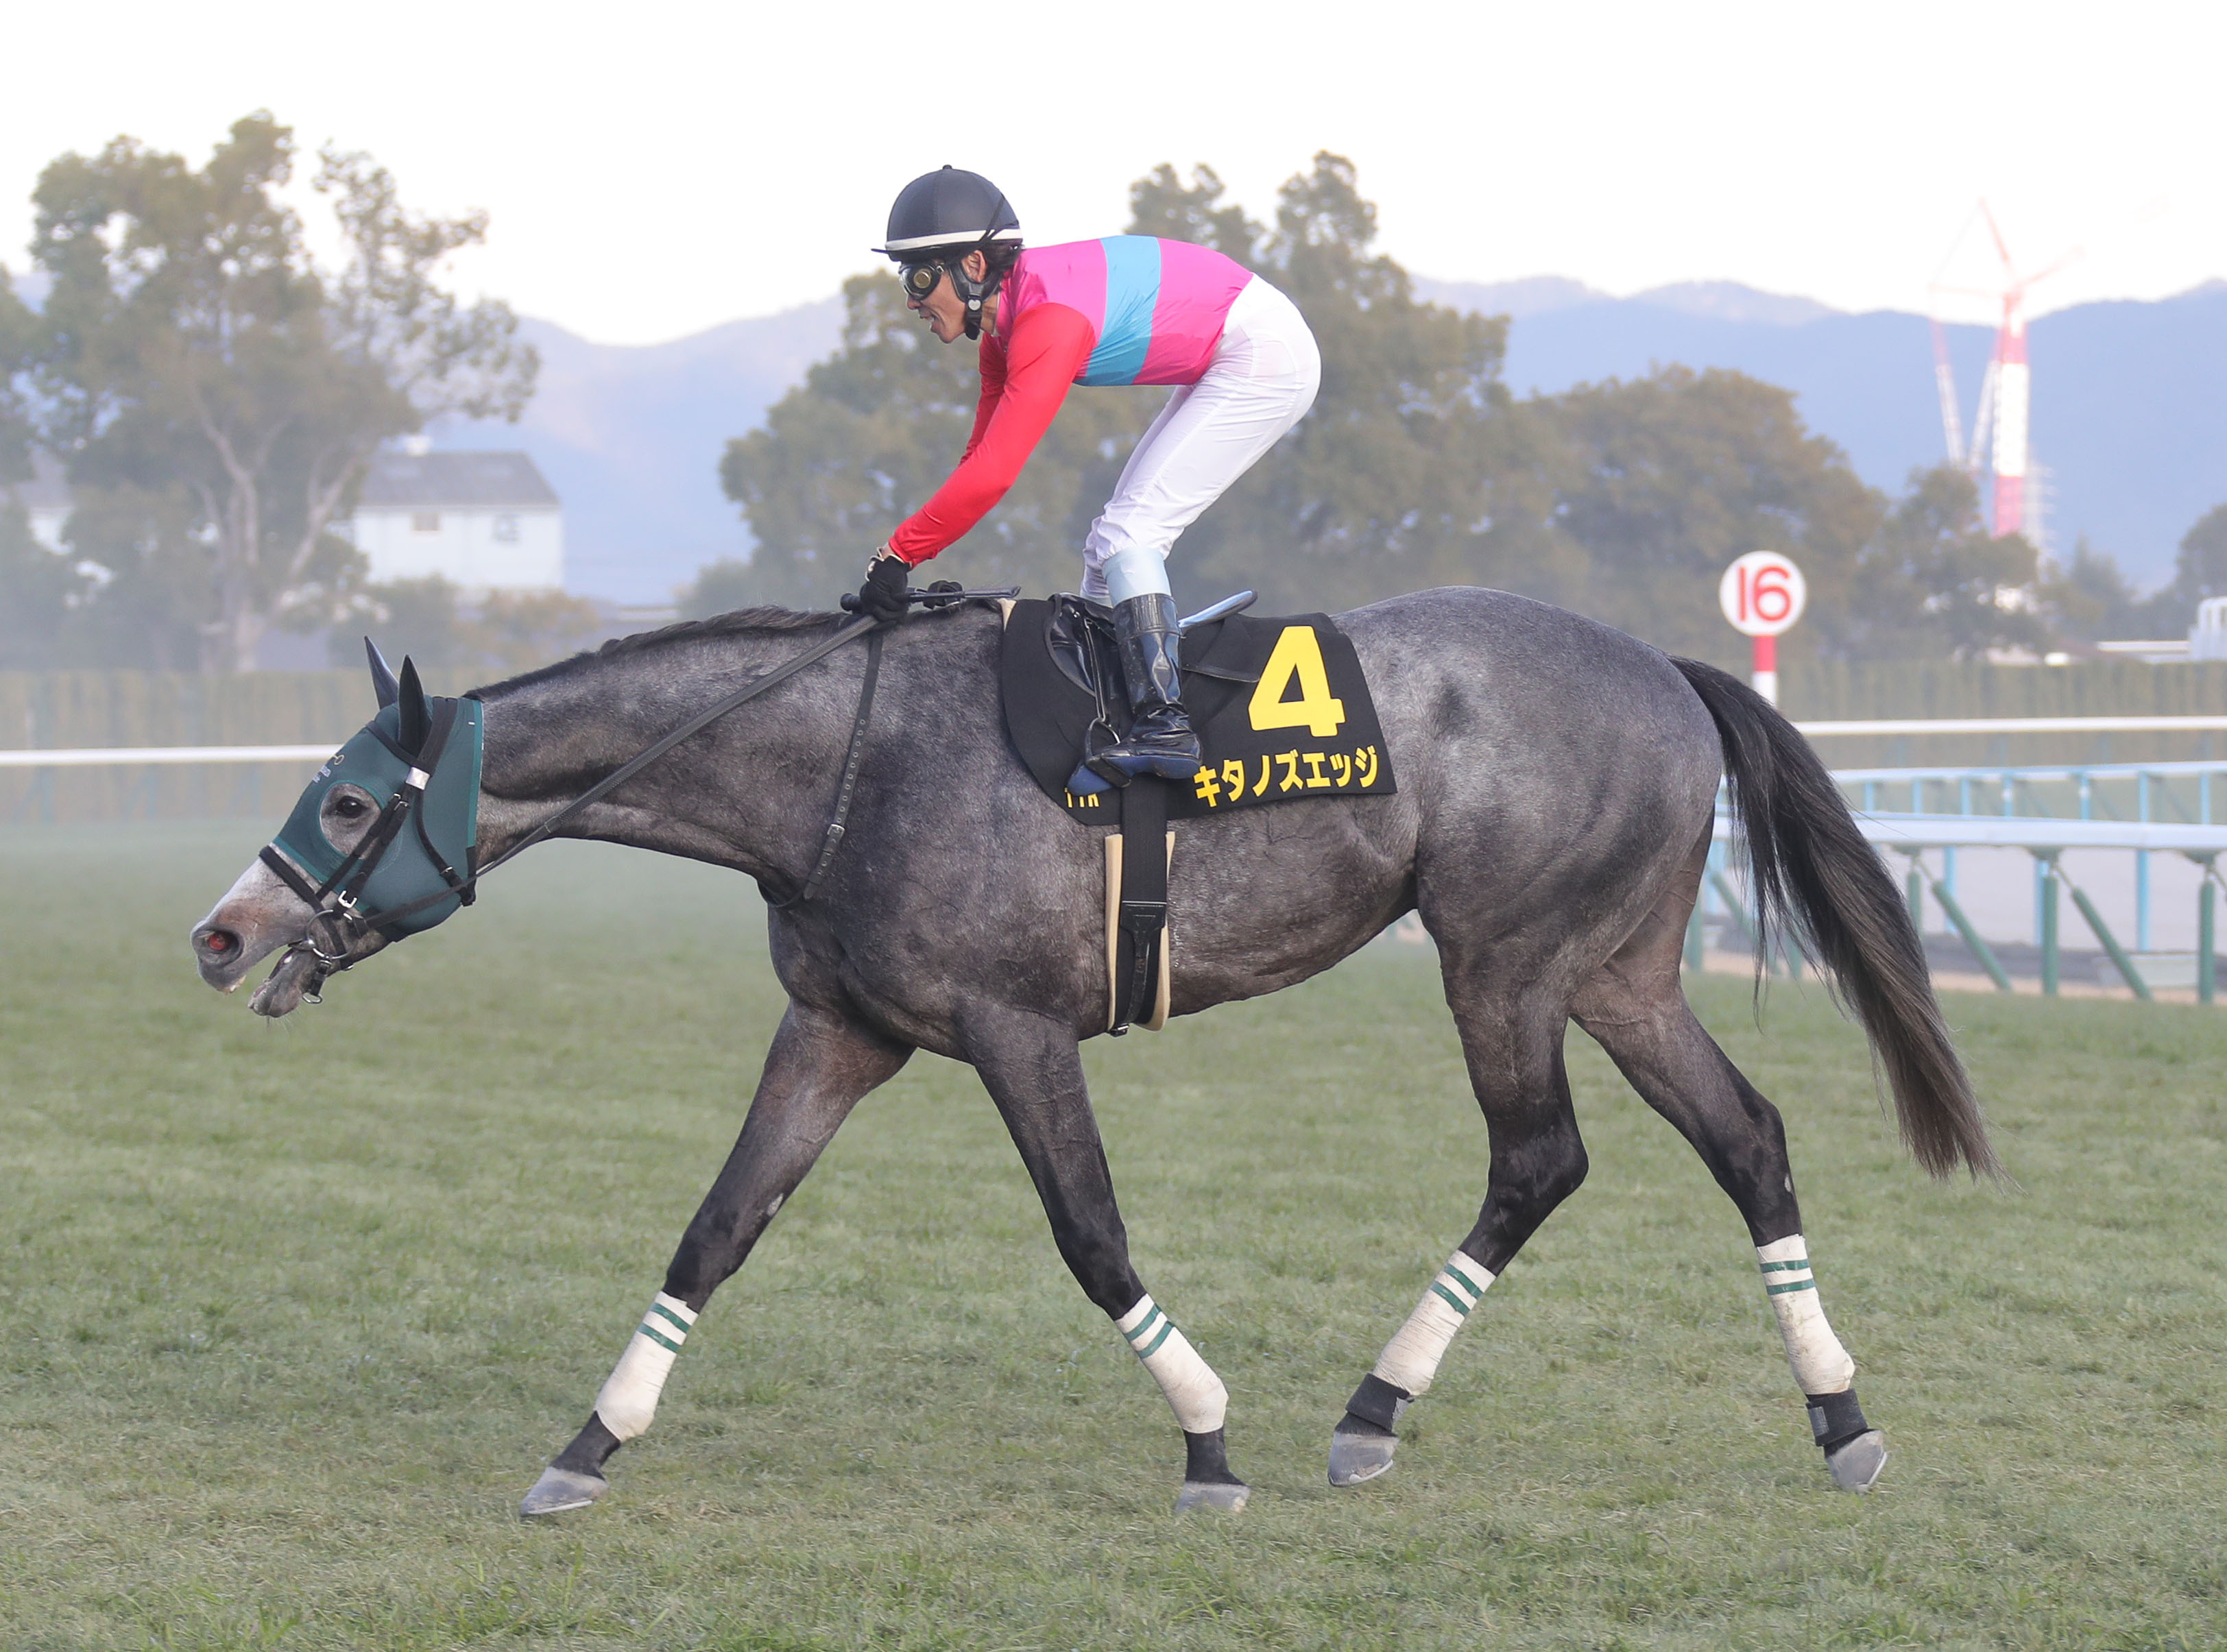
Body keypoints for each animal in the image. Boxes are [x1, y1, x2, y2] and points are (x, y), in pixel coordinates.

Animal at [189, 586, 1996, 1518]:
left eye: (343, 803)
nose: (220, 933)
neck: (841, 760)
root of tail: (1669, 668)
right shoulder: (842, 1029)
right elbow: (716, 1226)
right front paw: (588, 1443)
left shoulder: (1013, 1026)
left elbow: (1089, 1230)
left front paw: (1207, 1435)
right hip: (1613, 971)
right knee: (1746, 1135)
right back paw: (1838, 1415)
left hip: (1507, 960)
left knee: (1540, 1157)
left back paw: (1371, 1406)